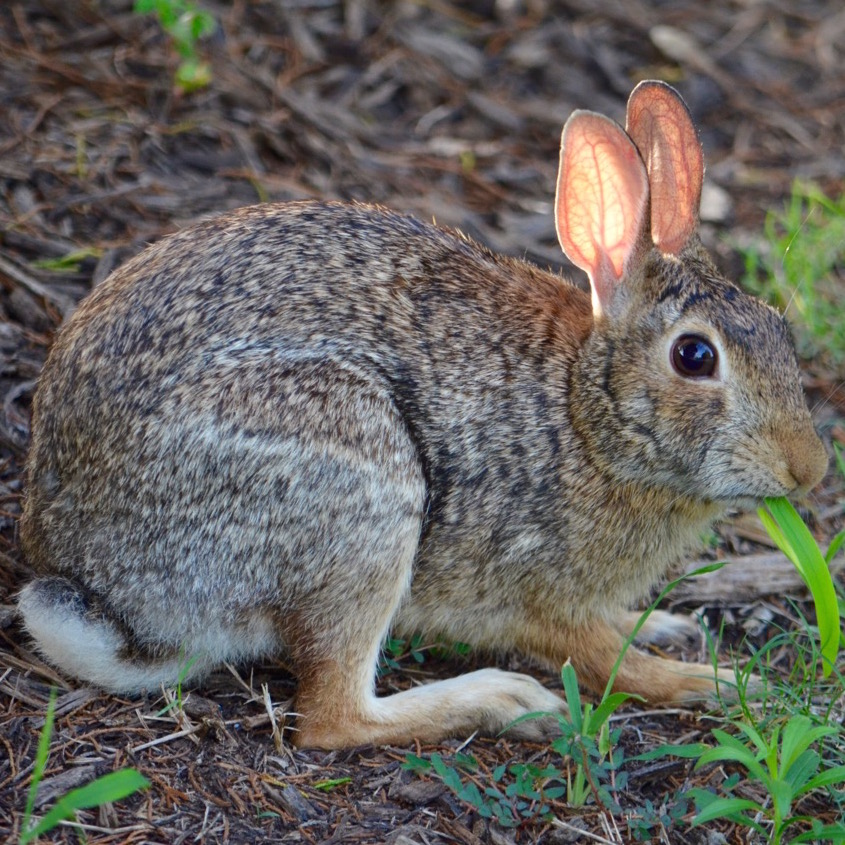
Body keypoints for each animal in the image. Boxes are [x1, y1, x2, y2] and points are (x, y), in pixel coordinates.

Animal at [18, 82, 824, 748]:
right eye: (694, 356)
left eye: (777, 327)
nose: (809, 468)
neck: (586, 417)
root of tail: (98, 582)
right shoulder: (538, 588)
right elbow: (603, 659)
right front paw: (712, 683)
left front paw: (664, 624)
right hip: (358, 485)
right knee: (331, 719)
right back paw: (505, 701)